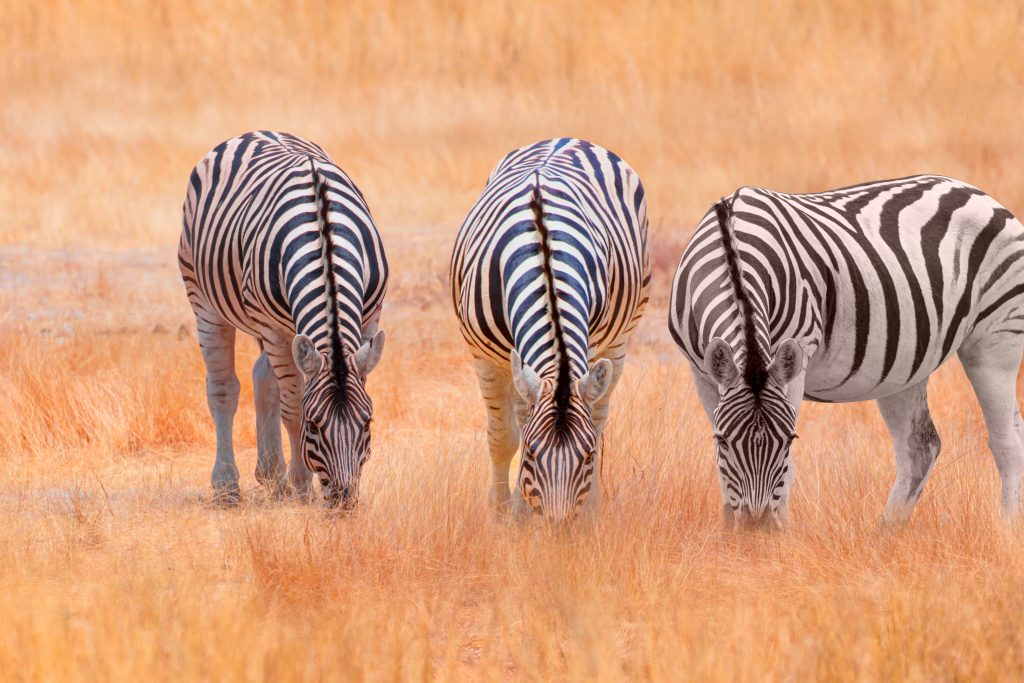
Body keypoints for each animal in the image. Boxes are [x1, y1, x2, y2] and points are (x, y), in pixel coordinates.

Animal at [179, 131, 388, 508]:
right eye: (315, 426)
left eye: (367, 423)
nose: (343, 501)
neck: (323, 239)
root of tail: (255, 133)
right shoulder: (275, 330)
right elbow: (292, 409)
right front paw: (302, 486)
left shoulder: (369, 318)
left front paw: (290, 481)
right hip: (205, 301)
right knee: (223, 388)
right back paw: (227, 484)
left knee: (263, 376)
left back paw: (272, 475)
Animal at [450, 138, 651, 522]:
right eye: (531, 452)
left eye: (587, 456)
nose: (560, 528)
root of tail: (567, 139)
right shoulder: (485, 357)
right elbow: (503, 436)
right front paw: (505, 513)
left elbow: (591, 425)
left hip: (619, 339)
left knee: (599, 416)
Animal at [669, 175, 1024, 530]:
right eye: (723, 440)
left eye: (790, 439)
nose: (757, 527)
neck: (733, 249)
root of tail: (974, 191)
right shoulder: (700, 372)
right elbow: (722, 468)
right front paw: (731, 533)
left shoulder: (796, 357)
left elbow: (788, 470)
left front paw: (780, 535)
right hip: (907, 364)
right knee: (921, 447)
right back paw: (885, 533)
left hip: (995, 342)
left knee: (1007, 442)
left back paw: (1006, 529)